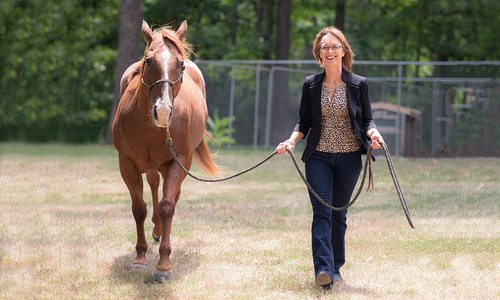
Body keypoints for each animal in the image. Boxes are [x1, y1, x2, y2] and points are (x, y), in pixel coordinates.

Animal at [113, 20, 219, 282]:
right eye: (148, 61)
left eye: (180, 64)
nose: (162, 111)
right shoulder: (126, 163)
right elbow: (139, 208)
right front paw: (140, 256)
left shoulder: (178, 162)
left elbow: (167, 206)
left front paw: (163, 265)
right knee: (153, 186)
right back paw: (156, 230)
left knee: (170, 197)